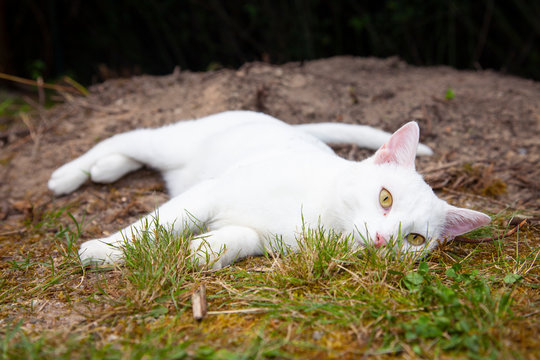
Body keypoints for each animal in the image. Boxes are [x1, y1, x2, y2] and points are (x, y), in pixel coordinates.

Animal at [48, 111, 492, 268]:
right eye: (385, 198)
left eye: (414, 239)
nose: (383, 239)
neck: (320, 218)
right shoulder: (211, 191)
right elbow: (158, 224)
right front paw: (106, 250)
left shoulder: (265, 238)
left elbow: (242, 236)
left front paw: (207, 249)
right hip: (172, 143)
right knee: (123, 138)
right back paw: (66, 176)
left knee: (130, 157)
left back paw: (105, 170)